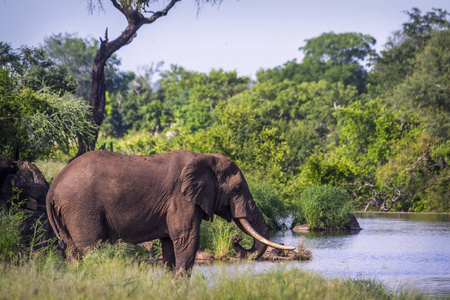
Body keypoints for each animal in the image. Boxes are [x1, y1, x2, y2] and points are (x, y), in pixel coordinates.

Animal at [44, 151, 292, 270]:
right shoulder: (181, 199)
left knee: (72, 250)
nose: (236, 238)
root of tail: (52, 187)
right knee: (93, 247)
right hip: (81, 207)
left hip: (69, 212)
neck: (204, 158)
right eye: (238, 189)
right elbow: (187, 239)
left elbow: (170, 244)